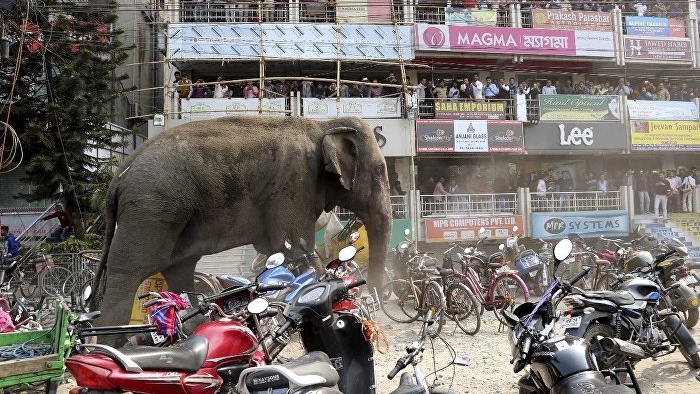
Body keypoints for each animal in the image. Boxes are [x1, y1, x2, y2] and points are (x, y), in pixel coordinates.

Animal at [90, 114, 392, 336]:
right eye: (379, 172)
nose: (376, 302)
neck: (323, 125)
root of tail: (119, 176)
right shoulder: (293, 184)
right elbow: (294, 246)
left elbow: (275, 250)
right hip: (151, 209)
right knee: (128, 271)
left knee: (179, 268)